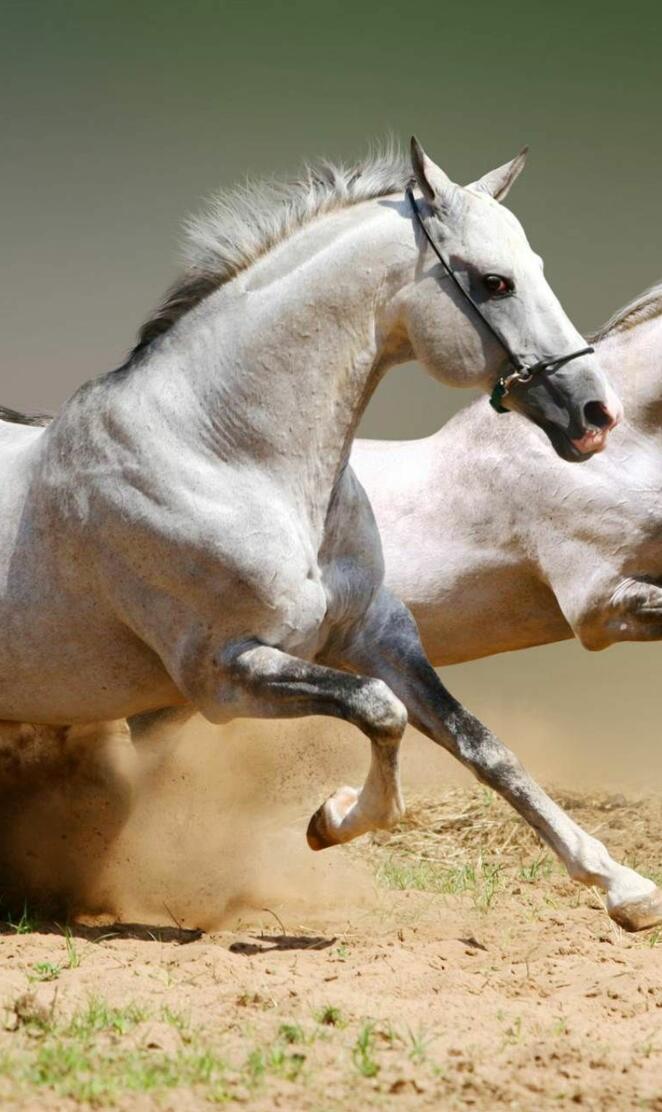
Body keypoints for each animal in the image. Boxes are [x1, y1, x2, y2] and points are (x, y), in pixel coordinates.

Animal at [0, 140, 627, 923]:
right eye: (495, 282)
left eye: (534, 266)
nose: (597, 415)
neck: (223, 455)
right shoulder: (226, 676)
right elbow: (380, 711)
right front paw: (332, 819)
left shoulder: (376, 634)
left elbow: (481, 745)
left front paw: (623, 885)